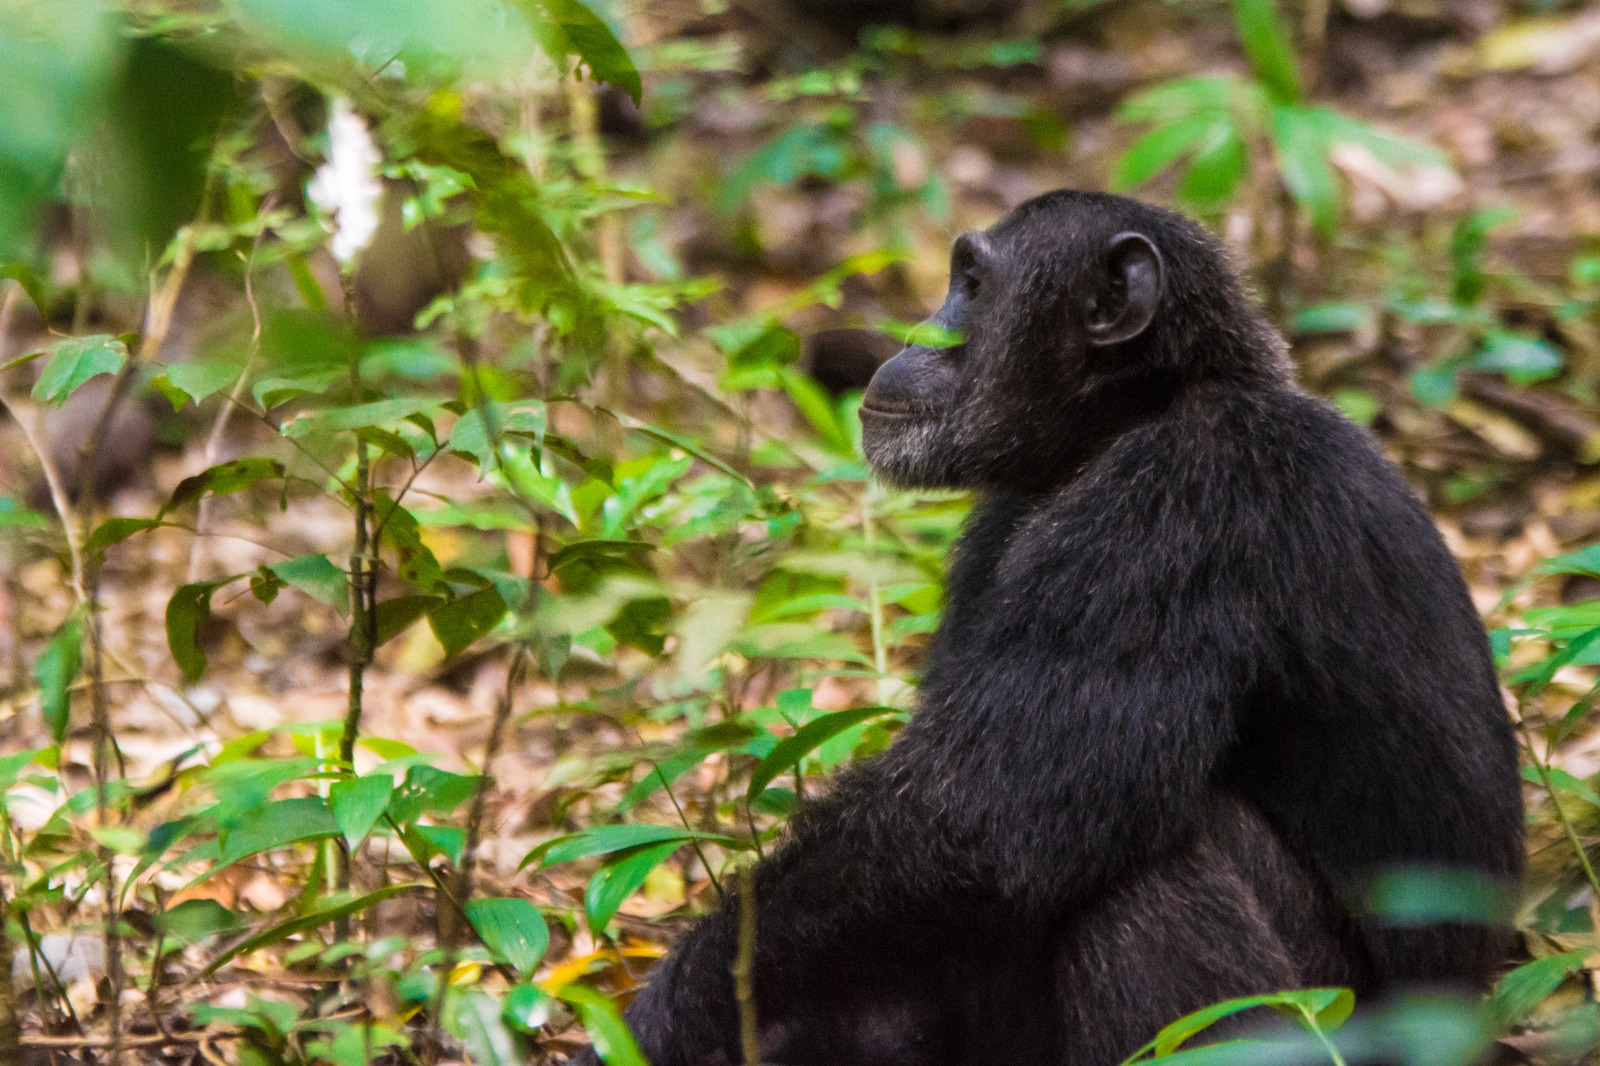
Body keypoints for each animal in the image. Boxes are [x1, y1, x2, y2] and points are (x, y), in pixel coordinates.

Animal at [568, 190, 1524, 1066]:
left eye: (973, 285)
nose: (918, 333)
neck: (1132, 418)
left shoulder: (1180, 506)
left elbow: (988, 815)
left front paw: (678, 1008)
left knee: (1149, 868)